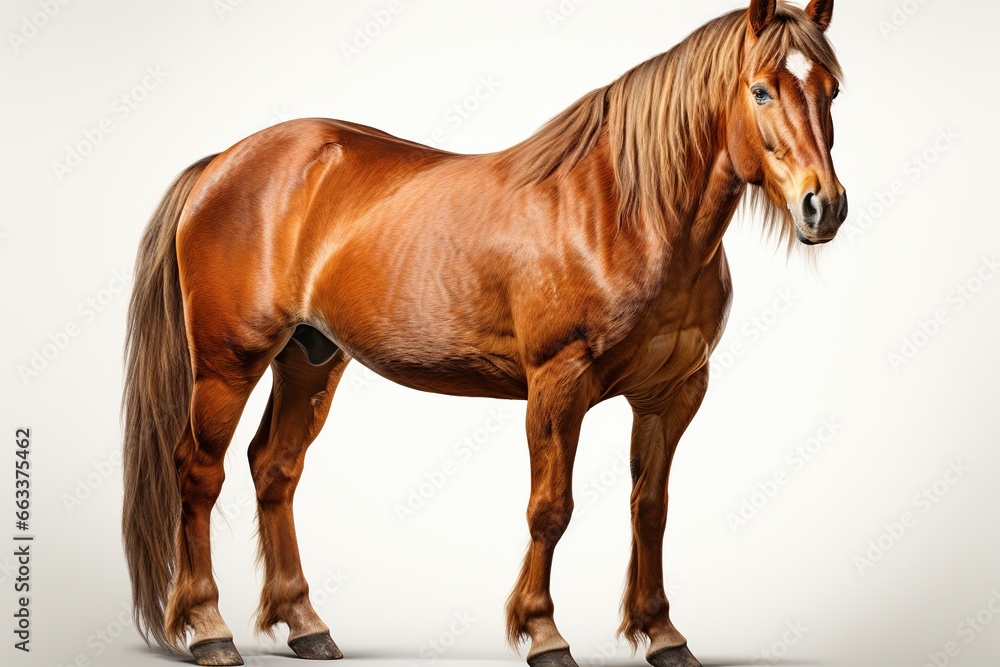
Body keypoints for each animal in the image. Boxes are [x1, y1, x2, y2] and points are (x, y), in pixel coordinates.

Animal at [121, 1, 845, 666]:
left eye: (832, 88)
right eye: (761, 89)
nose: (824, 206)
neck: (625, 211)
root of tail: (224, 161)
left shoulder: (673, 393)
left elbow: (651, 509)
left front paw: (663, 633)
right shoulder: (559, 381)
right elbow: (551, 508)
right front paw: (543, 633)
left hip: (311, 358)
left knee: (274, 468)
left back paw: (306, 625)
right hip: (228, 361)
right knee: (198, 472)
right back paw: (209, 629)